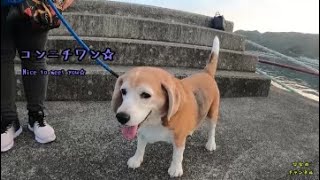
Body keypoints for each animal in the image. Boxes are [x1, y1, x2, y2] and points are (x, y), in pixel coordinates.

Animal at [112, 36, 220, 177]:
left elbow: (177, 155)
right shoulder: (141, 131)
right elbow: (140, 146)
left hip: (213, 112)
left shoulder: (179, 138)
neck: (156, 121)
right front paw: (136, 159)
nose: (121, 117)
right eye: (123, 91)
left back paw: (211, 144)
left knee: (212, 129)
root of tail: (206, 73)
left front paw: (175, 169)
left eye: (145, 95)